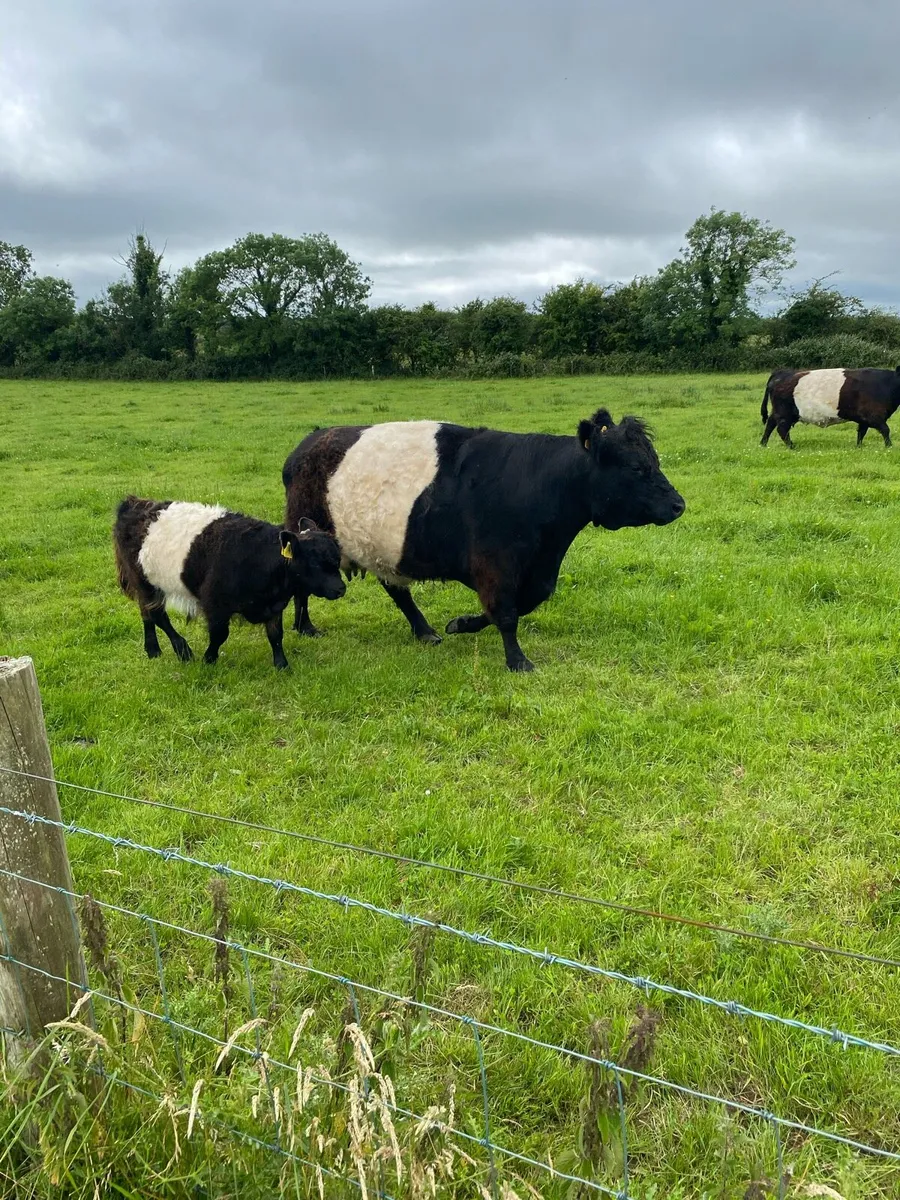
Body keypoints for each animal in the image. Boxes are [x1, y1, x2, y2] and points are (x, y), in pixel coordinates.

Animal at [114, 497, 346, 670]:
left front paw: (282, 665)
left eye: (337, 560)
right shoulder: (214, 604)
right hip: (145, 582)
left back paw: (153, 649)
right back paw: (182, 650)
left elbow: (276, 636)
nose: (341, 588)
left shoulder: (274, 605)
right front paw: (208, 659)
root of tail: (134, 503)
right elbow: (219, 635)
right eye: (315, 562)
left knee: (146, 613)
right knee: (157, 615)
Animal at [282, 409, 685, 672]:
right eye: (637, 467)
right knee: (302, 581)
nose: (678, 505)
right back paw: (305, 627)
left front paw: (461, 624)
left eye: (654, 460)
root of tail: (309, 442)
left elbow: (521, 605)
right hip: (307, 535)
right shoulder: (495, 563)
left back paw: (424, 631)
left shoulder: (539, 569)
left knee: (396, 589)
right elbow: (505, 613)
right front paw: (517, 661)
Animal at [760, 367, 900, 449]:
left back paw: (763, 444)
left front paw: (858, 447)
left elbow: (861, 433)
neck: (886, 384)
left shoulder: (864, 418)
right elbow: (885, 430)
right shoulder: (874, 415)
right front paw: (889, 447)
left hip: (778, 411)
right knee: (782, 429)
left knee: (770, 424)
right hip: (784, 412)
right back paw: (792, 447)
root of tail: (780, 373)